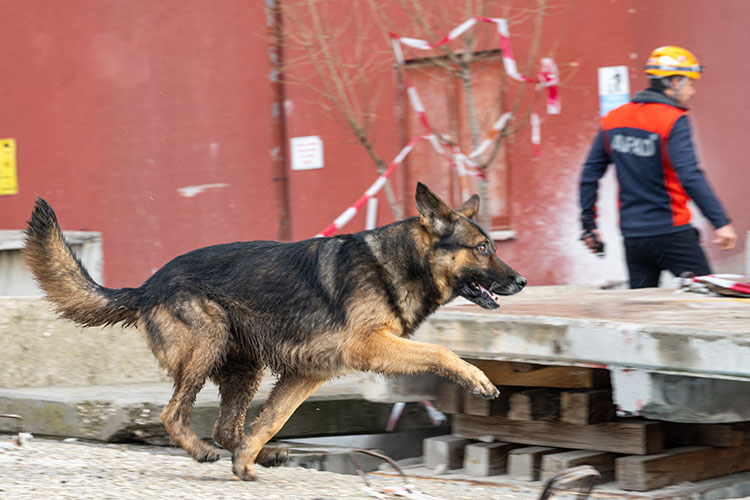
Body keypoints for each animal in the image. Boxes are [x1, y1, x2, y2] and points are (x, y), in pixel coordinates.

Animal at [25, 183, 528, 480]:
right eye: (483, 248)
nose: (522, 281)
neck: (401, 262)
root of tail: (148, 285)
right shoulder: (371, 346)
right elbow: (441, 351)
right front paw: (478, 379)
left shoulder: (308, 374)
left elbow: (271, 420)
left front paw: (248, 460)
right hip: (207, 346)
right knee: (173, 415)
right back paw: (201, 451)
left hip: (243, 371)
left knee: (229, 426)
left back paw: (255, 454)